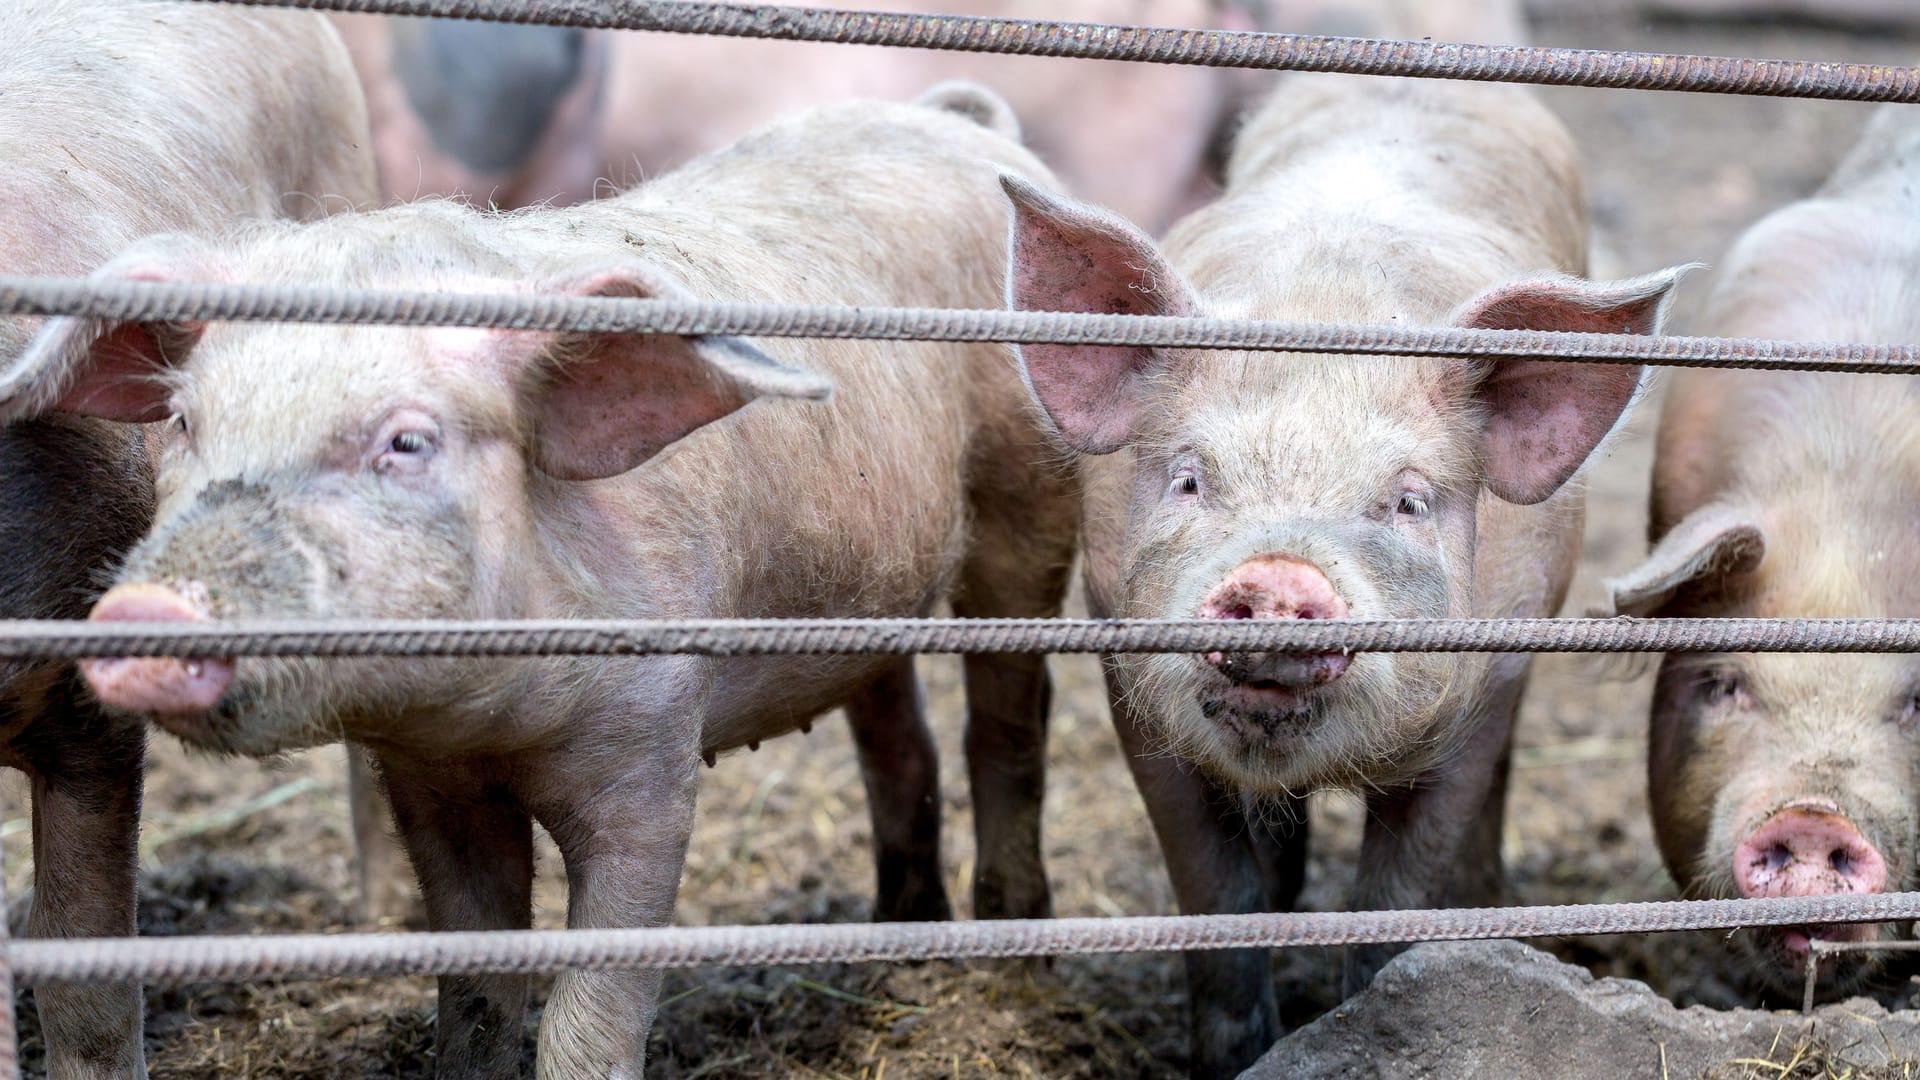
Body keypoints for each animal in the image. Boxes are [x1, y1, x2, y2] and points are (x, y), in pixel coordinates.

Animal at [998, 2, 1689, 1068]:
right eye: (1189, 477)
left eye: (1407, 501)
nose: (1279, 577)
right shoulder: (1124, 667)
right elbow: (1216, 897)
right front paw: (1243, 1048)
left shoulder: (1485, 689)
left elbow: (1395, 897)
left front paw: (1382, 1015)